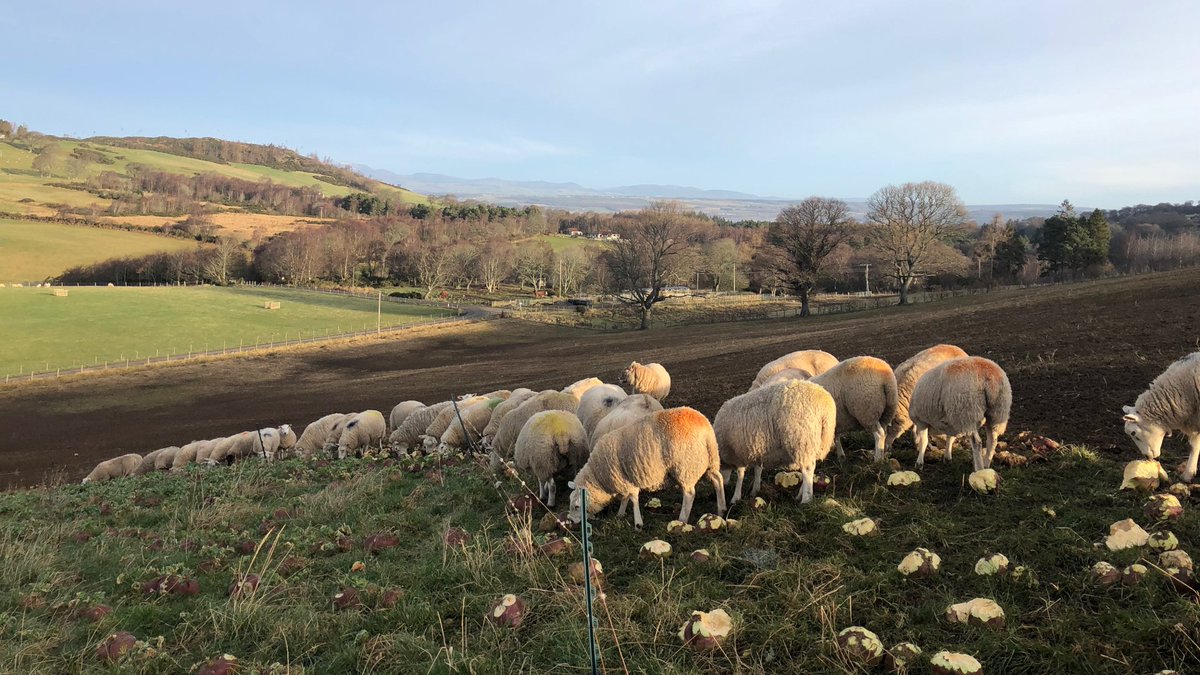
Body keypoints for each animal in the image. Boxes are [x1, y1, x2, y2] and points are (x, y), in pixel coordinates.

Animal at [566, 403, 724, 526]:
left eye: (576, 506)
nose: (572, 521)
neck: (598, 476)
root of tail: (706, 429)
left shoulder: (624, 479)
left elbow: (633, 498)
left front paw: (638, 523)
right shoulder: (625, 480)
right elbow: (626, 497)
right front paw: (620, 514)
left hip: (686, 467)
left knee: (690, 494)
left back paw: (682, 519)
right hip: (710, 461)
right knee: (718, 479)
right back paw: (722, 509)